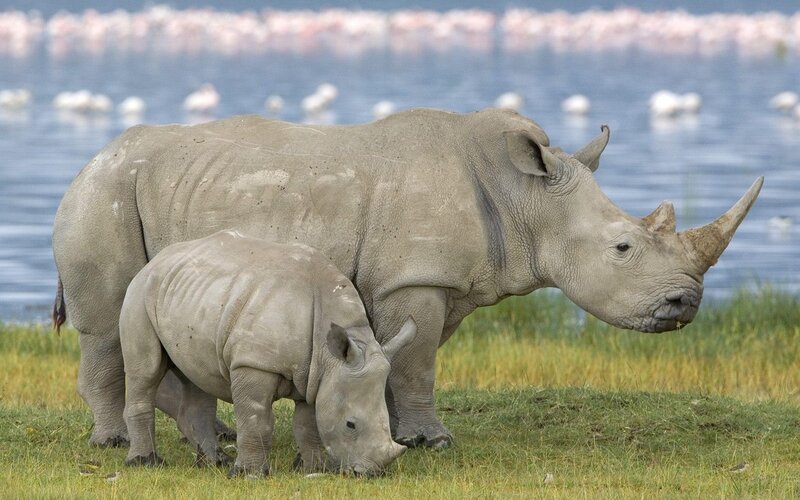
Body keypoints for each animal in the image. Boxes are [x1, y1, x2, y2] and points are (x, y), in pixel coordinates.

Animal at [52, 108, 762, 450]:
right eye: (623, 247)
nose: (686, 303)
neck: (523, 197)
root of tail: (91, 158)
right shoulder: (413, 279)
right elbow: (418, 363)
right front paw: (433, 442)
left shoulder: (429, 282)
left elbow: (403, 360)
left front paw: (391, 432)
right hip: (103, 196)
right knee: (108, 326)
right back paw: (115, 442)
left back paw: (217, 435)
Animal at [120, 230, 413, 476]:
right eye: (350, 424)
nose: (372, 473)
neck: (329, 354)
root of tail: (158, 259)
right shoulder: (254, 364)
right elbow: (256, 419)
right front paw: (249, 474)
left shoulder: (316, 375)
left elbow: (308, 424)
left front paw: (313, 469)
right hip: (139, 292)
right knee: (144, 372)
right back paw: (144, 462)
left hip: (190, 294)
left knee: (197, 376)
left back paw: (214, 462)